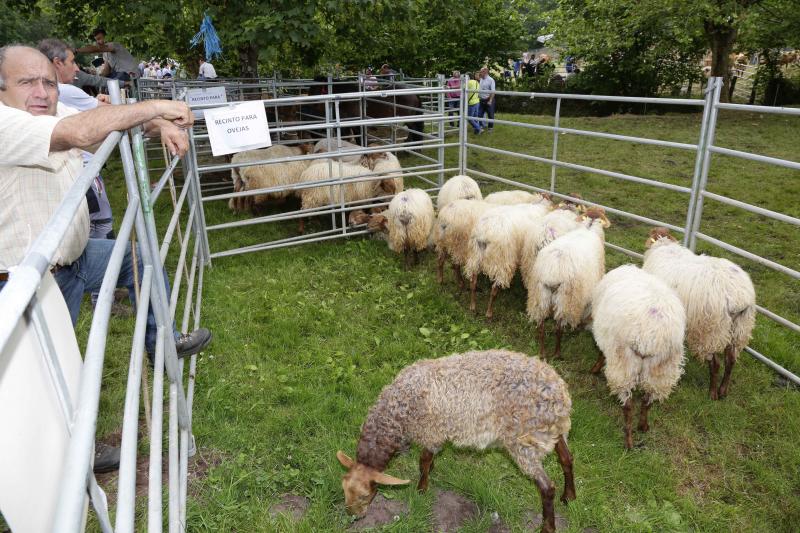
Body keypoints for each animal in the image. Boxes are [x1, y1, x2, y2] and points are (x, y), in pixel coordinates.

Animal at [338, 350, 576, 532]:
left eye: (365, 495)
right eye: (344, 488)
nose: (354, 515)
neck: (398, 411)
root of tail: (560, 394)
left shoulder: (431, 432)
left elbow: (423, 461)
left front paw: (422, 489)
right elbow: (428, 460)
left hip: (524, 441)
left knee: (547, 487)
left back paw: (548, 526)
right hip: (553, 432)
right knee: (567, 458)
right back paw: (569, 497)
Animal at [528, 208, 608, 358]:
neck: (589, 228)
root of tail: (552, 271)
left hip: (539, 294)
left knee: (541, 325)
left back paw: (542, 353)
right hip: (567, 299)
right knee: (559, 328)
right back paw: (557, 354)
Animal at [588, 264, 688, 446]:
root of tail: (650, 333)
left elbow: (600, 352)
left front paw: (594, 368)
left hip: (624, 361)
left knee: (628, 405)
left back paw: (628, 441)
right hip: (662, 368)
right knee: (648, 400)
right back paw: (643, 426)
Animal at [636, 228, 756, 400]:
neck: (664, 246)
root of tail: (738, 296)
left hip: (711, 330)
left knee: (716, 363)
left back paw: (713, 393)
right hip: (739, 328)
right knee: (731, 360)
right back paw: (723, 390)